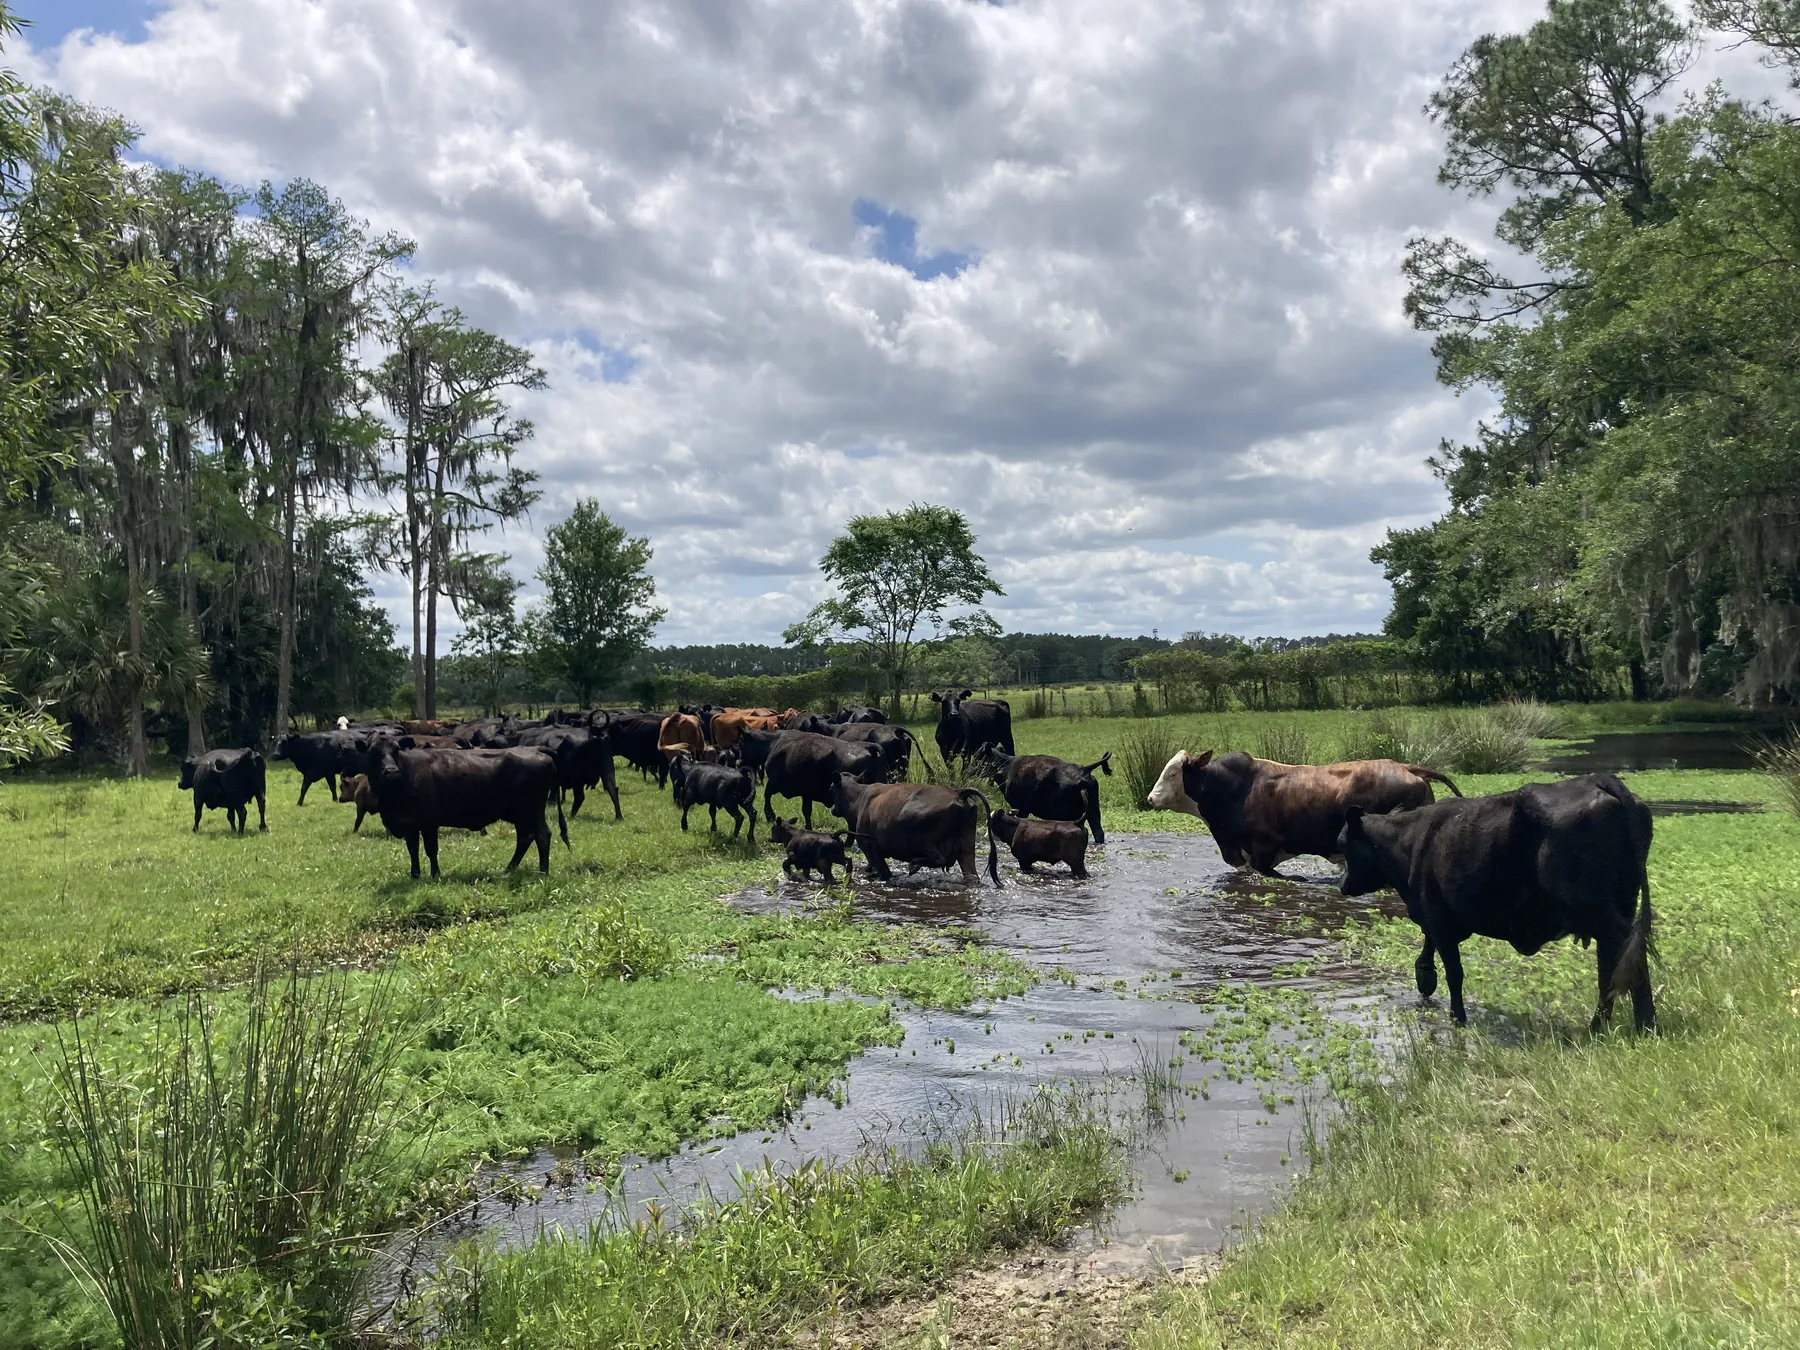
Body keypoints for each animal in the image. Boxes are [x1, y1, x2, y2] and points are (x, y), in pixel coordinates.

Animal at [367, 738, 568, 879]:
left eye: (396, 750)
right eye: (373, 752)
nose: (391, 771)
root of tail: (535, 748)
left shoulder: (429, 822)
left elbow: (431, 849)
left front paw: (435, 875)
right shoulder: (409, 824)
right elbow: (413, 850)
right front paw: (415, 875)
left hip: (532, 812)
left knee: (542, 835)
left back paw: (542, 872)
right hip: (521, 816)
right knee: (525, 838)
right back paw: (508, 869)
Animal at [737, 729, 885, 828]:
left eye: (742, 743)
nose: (740, 762)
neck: (773, 744)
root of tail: (869, 748)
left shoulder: (776, 783)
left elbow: (768, 797)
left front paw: (770, 816)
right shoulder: (805, 794)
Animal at [830, 772, 1000, 886]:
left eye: (831, 788)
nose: (832, 808)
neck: (859, 798)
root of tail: (957, 792)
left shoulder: (870, 846)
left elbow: (885, 872)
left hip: (922, 840)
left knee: (939, 859)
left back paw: (914, 865)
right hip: (966, 845)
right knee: (971, 873)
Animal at [976, 746, 1111, 844]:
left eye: (978, 758)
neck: (1007, 767)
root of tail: (1084, 769)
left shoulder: (1020, 808)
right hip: (1093, 810)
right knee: (1099, 833)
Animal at [1337, 772, 1656, 1031]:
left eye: (1343, 845)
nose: (1342, 885)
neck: (1409, 840)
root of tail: (1597, 780)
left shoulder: (1437, 915)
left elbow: (1454, 971)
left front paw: (1457, 1017)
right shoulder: (1438, 916)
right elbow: (1429, 954)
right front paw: (1426, 980)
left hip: (1594, 906)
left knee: (1628, 953)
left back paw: (1645, 1025)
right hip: (1621, 902)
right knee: (1610, 964)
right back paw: (1602, 1026)